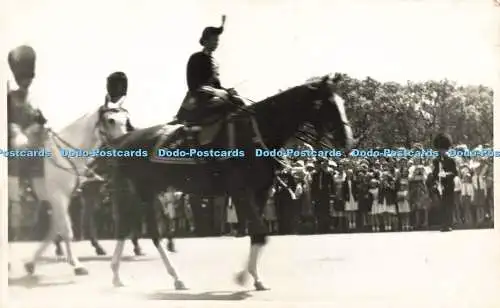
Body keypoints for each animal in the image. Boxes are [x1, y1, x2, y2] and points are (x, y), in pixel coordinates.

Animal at [23, 104, 130, 276]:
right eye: (110, 120)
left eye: (126, 120)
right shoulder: (59, 196)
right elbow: (66, 229)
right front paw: (77, 264)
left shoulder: (65, 198)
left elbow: (57, 228)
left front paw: (31, 263)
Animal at [107, 74, 354, 288]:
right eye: (326, 104)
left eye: (342, 102)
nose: (348, 141)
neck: (256, 134)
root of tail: (125, 140)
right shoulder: (241, 192)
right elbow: (260, 232)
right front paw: (245, 277)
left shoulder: (261, 192)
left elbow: (258, 234)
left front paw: (252, 276)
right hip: (144, 192)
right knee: (151, 233)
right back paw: (174, 277)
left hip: (145, 193)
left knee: (128, 227)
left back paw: (118, 274)